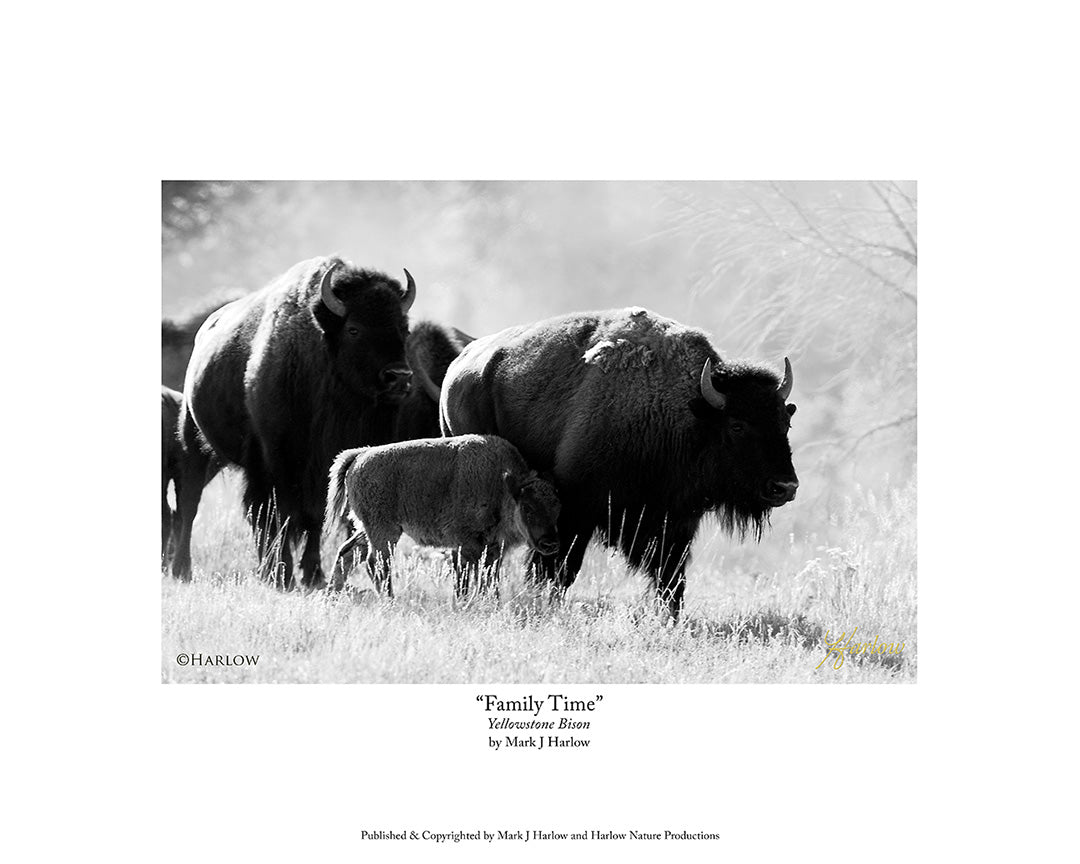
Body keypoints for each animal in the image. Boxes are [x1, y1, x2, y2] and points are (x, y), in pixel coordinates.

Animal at [180, 256, 417, 589]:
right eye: (354, 329)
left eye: (404, 329)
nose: (399, 377)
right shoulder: (275, 463)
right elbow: (277, 514)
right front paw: (281, 574)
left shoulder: (325, 467)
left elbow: (314, 518)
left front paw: (312, 573)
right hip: (193, 440)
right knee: (190, 503)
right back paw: (181, 568)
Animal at [439, 307, 798, 618]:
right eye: (737, 425)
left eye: (785, 423)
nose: (785, 486)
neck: (685, 414)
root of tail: (459, 367)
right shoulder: (575, 512)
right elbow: (560, 569)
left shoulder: (675, 522)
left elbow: (671, 579)